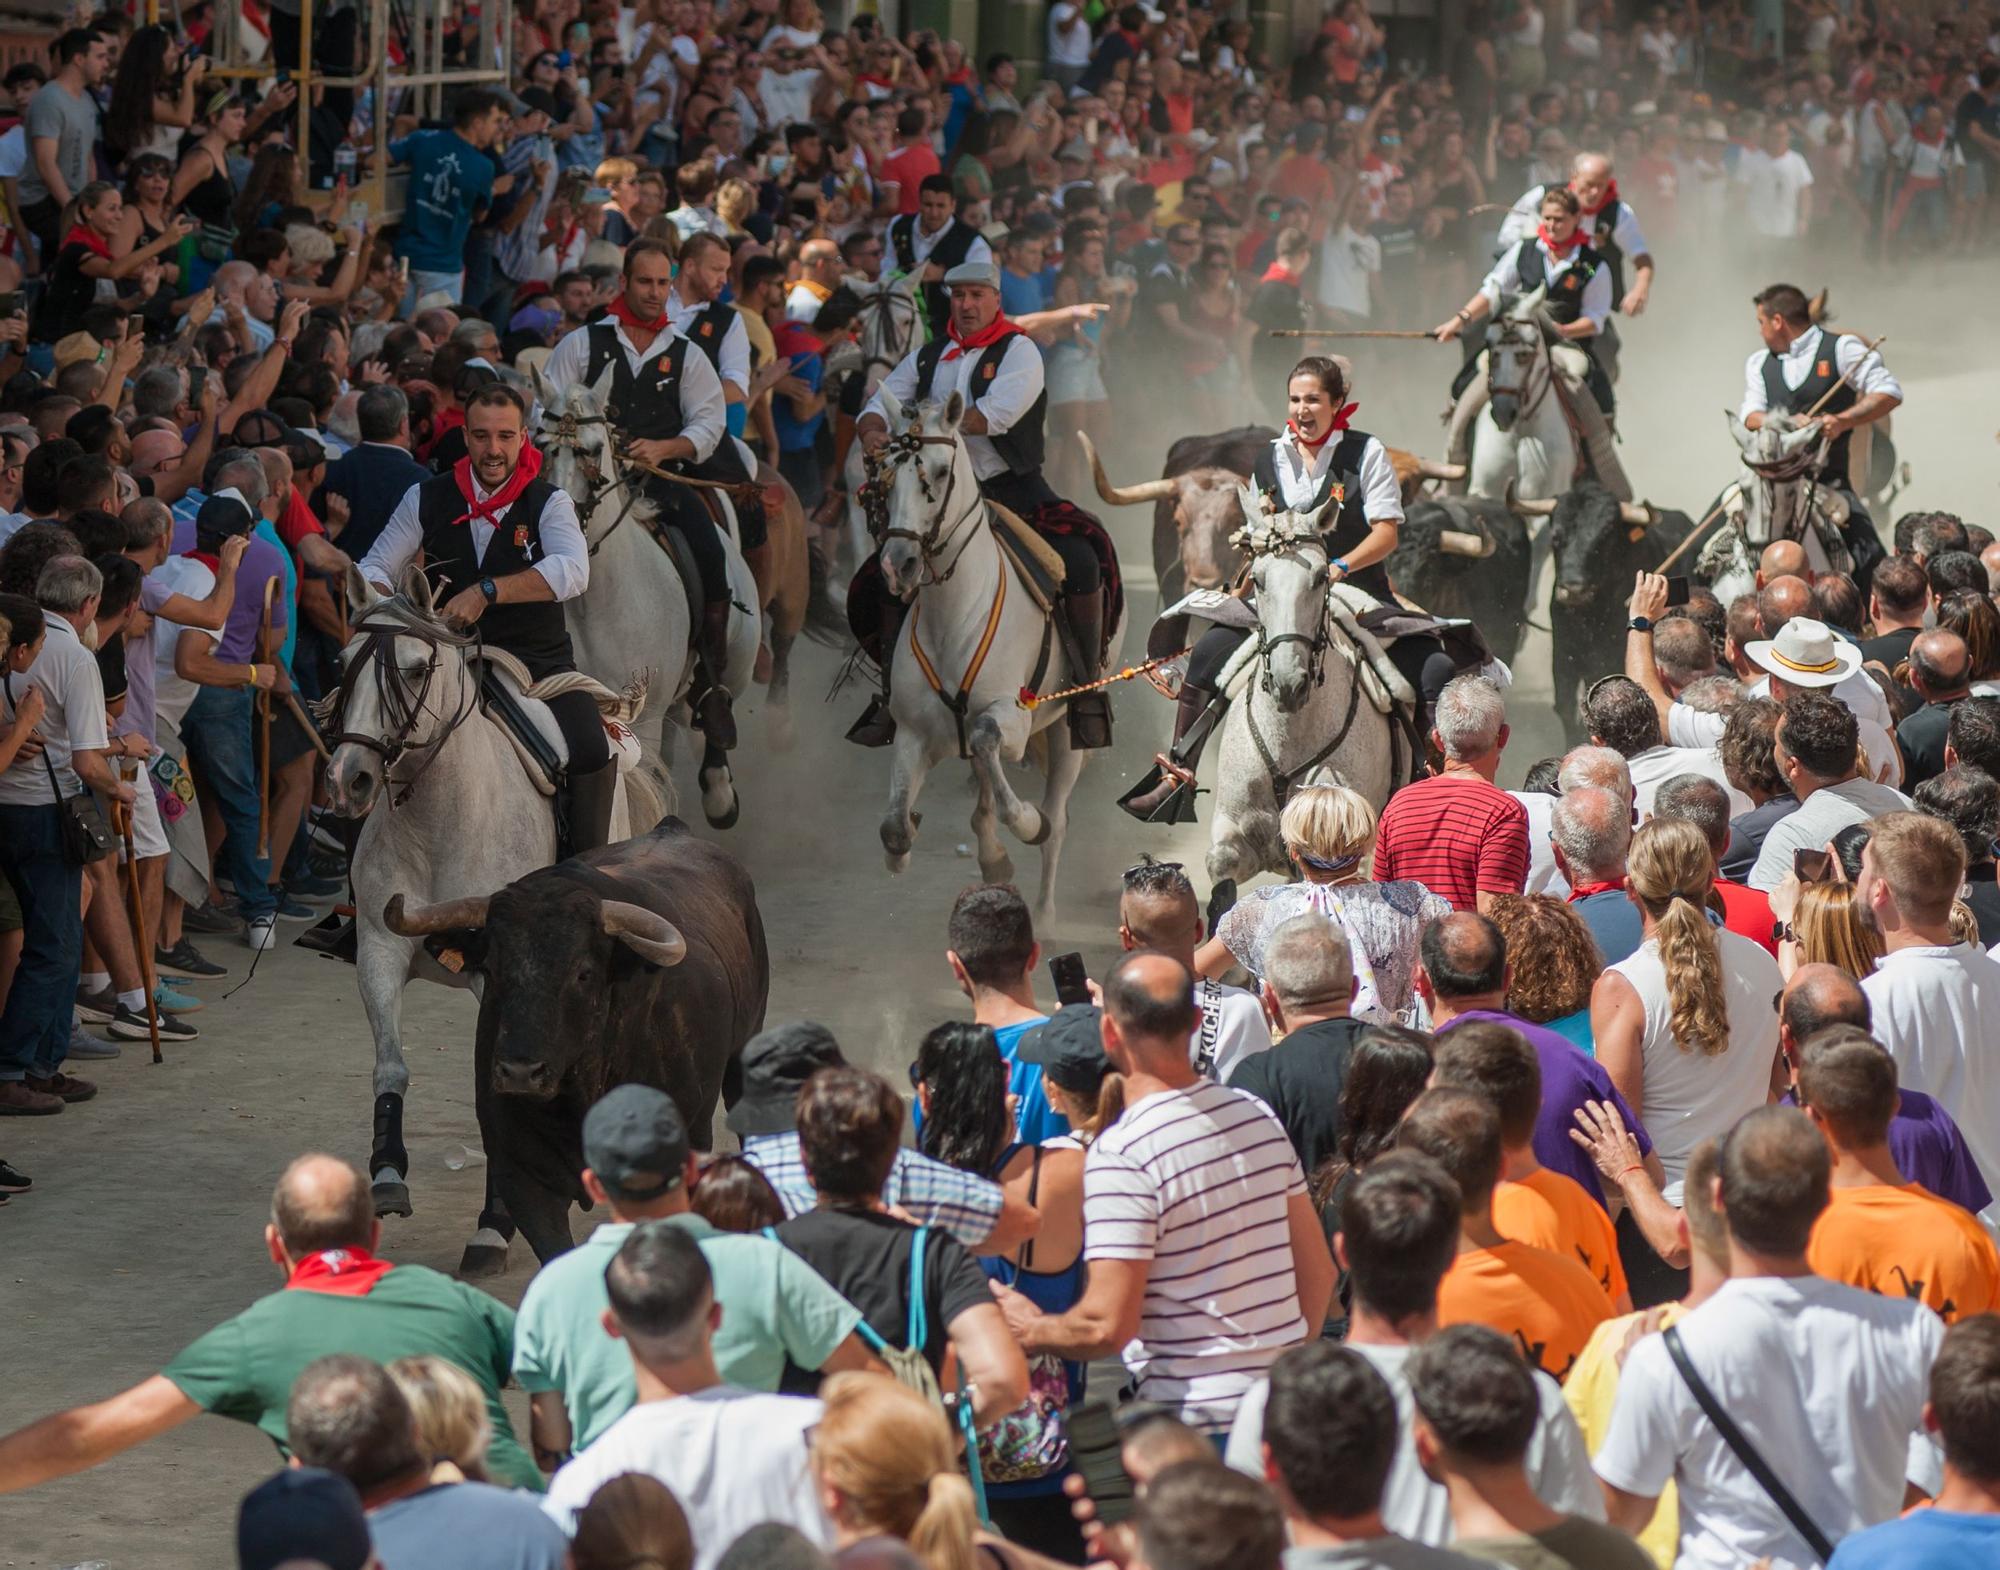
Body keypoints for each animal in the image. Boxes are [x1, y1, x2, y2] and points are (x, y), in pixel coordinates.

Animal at [324, 568, 668, 1264]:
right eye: (343, 663)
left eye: (416, 666)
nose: (349, 779)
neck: (439, 820)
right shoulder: (379, 950)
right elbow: (390, 1064)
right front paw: (387, 1175)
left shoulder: (502, 976)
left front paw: (494, 1222)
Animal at [876, 390, 1128, 924]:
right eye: (887, 472)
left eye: (940, 473)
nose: (897, 564)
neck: (953, 616)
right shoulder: (912, 733)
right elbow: (894, 825)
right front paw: (901, 849)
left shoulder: (1013, 719)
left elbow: (999, 759)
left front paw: (1028, 824)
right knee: (983, 791)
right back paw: (993, 858)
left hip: (1067, 732)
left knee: (1054, 818)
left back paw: (1046, 913)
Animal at [1200, 490, 1392, 900]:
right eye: (1257, 580)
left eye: (1320, 577)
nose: (1290, 684)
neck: (1290, 736)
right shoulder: (1234, 835)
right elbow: (1221, 871)